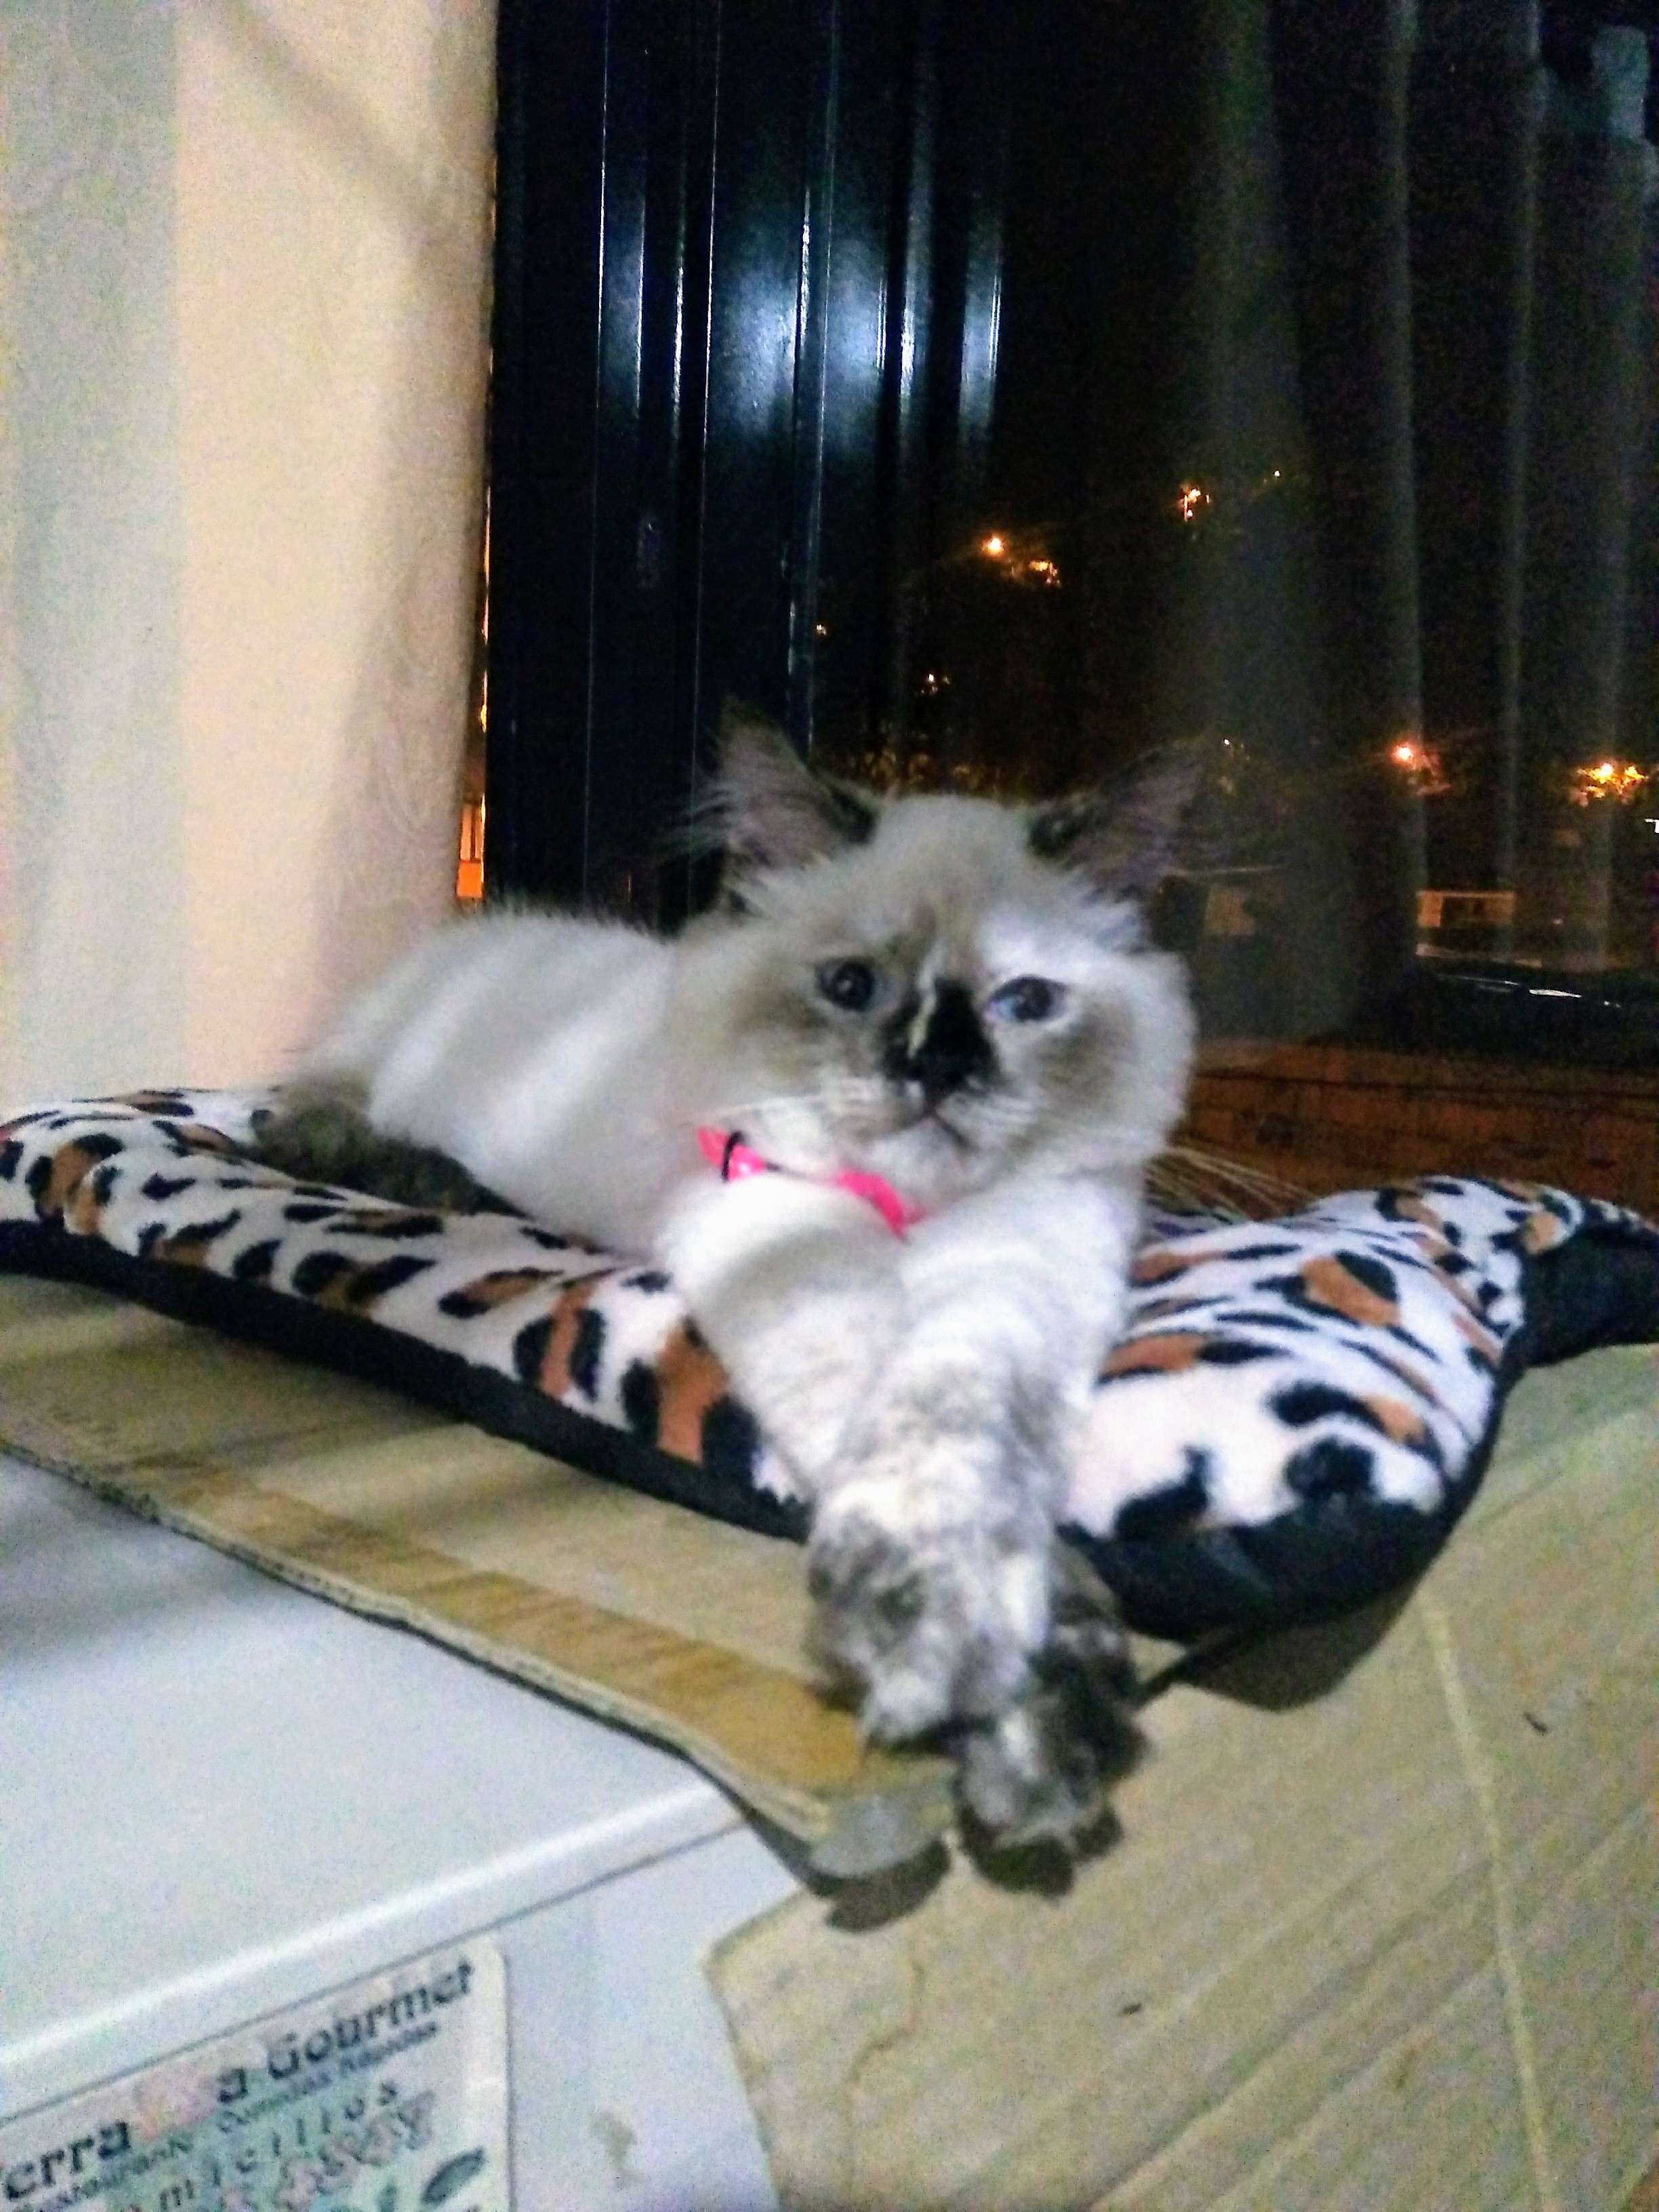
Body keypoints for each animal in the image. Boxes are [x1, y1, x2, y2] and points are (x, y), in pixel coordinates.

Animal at [258, 714, 1199, 1842]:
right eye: (850, 988)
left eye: (1025, 1004)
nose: (934, 1069)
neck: (912, 1218)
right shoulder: (787, 1247)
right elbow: (917, 1488)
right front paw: (1008, 1703)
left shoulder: (1024, 1280)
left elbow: (965, 1445)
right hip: (367, 1075)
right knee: (288, 1122)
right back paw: (421, 1171)